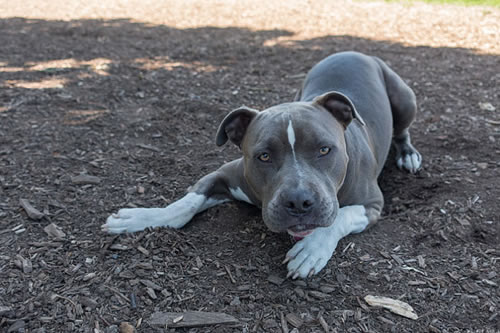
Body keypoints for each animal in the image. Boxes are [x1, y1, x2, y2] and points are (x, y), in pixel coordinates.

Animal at [102, 51, 422, 278]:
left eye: (324, 149)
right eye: (264, 156)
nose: (299, 202)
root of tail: (354, 51)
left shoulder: (372, 204)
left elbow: (339, 217)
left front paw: (312, 248)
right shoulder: (224, 174)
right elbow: (184, 204)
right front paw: (141, 217)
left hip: (405, 100)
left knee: (403, 129)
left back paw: (408, 154)